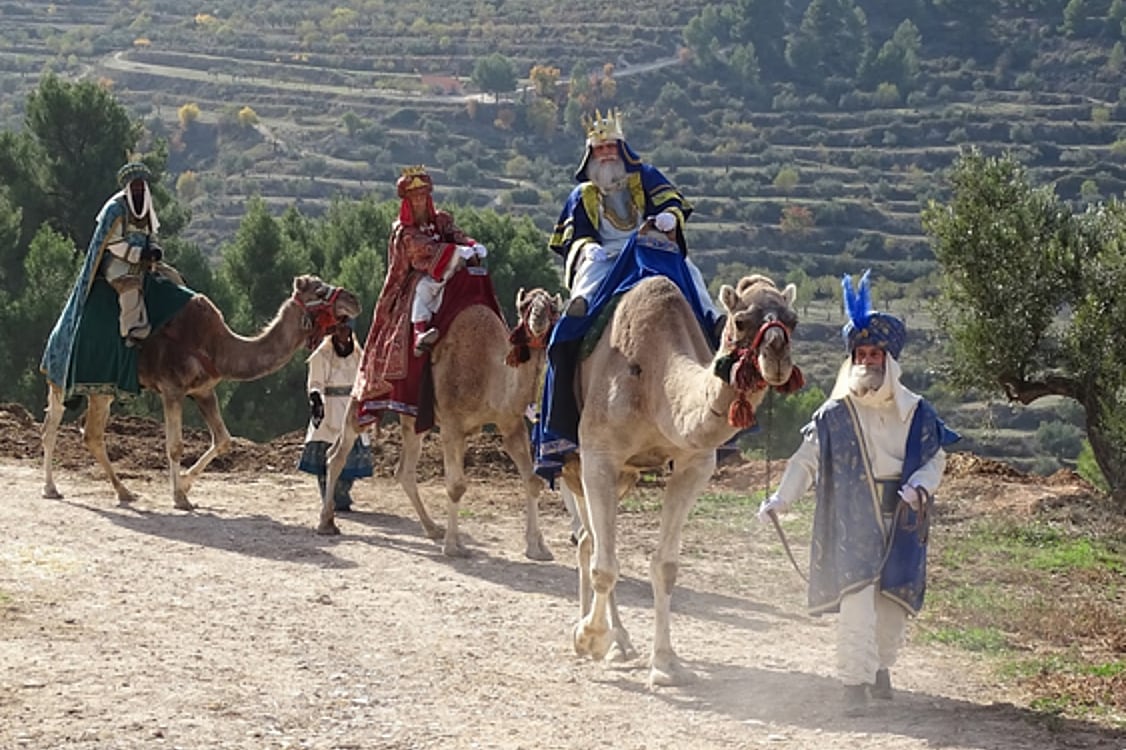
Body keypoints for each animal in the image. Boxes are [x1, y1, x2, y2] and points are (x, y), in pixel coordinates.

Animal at [42, 274, 360, 509]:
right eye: (319, 290)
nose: (354, 299)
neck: (217, 347)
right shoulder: (172, 388)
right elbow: (174, 445)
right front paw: (179, 497)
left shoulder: (205, 390)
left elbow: (224, 440)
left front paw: (183, 483)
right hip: (71, 378)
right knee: (60, 426)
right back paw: (53, 487)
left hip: (102, 390)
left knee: (84, 432)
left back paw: (122, 492)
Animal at [317, 283, 563, 558]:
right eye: (525, 306)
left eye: (553, 308)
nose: (538, 320)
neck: (490, 374)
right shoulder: (451, 425)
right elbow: (456, 486)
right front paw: (453, 546)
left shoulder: (511, 423)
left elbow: (532, 480)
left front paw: (537, 548)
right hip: (364, 396)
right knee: (337, 453)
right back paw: (326, 522)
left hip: (413, 420)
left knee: (403, 470)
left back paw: (433, 528)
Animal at [558, 273, 797, 684]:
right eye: (741, 321)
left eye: (793, 321)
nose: (777, 356)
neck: (654, 379)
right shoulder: (598, 453)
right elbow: (605, 567)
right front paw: (588, 638)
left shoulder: (694, 464)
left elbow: (666, 567)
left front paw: (666, 663)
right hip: (573, 462)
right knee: (592, 541)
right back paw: (603, 637)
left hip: (626, 475)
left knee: (593, 539)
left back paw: (622, 643)